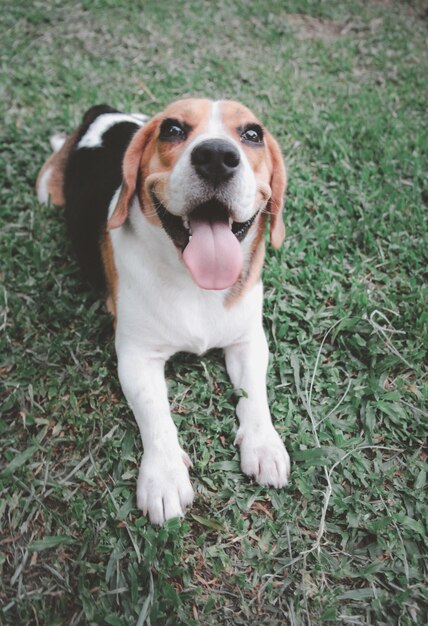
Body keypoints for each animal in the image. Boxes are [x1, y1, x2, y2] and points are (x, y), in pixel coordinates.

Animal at [36, 97, 290, 520]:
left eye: (253, 134)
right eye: (172, 129)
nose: (217, 157)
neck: (193, 283)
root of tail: (102, 111)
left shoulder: (248, 341)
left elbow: (255, 394)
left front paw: (264, 445)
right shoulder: (136, 357)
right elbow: (155, 414)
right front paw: (164, 476)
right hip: (47, 192)